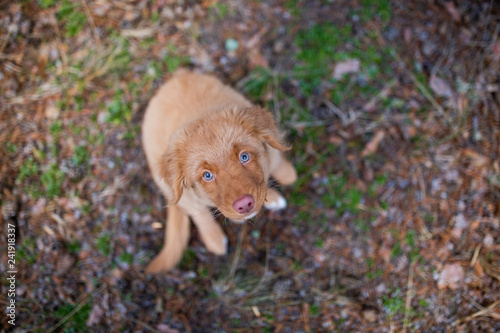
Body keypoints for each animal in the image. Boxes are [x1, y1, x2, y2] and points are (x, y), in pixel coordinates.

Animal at [142, 70, 296, 272]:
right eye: (207, 175)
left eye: (244, 156)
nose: (244, 205)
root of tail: (176, 77)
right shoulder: (189, 197)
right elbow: (200, 213)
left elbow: (276, 160)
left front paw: (286, 175)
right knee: (198, 213)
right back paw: (215, 239)